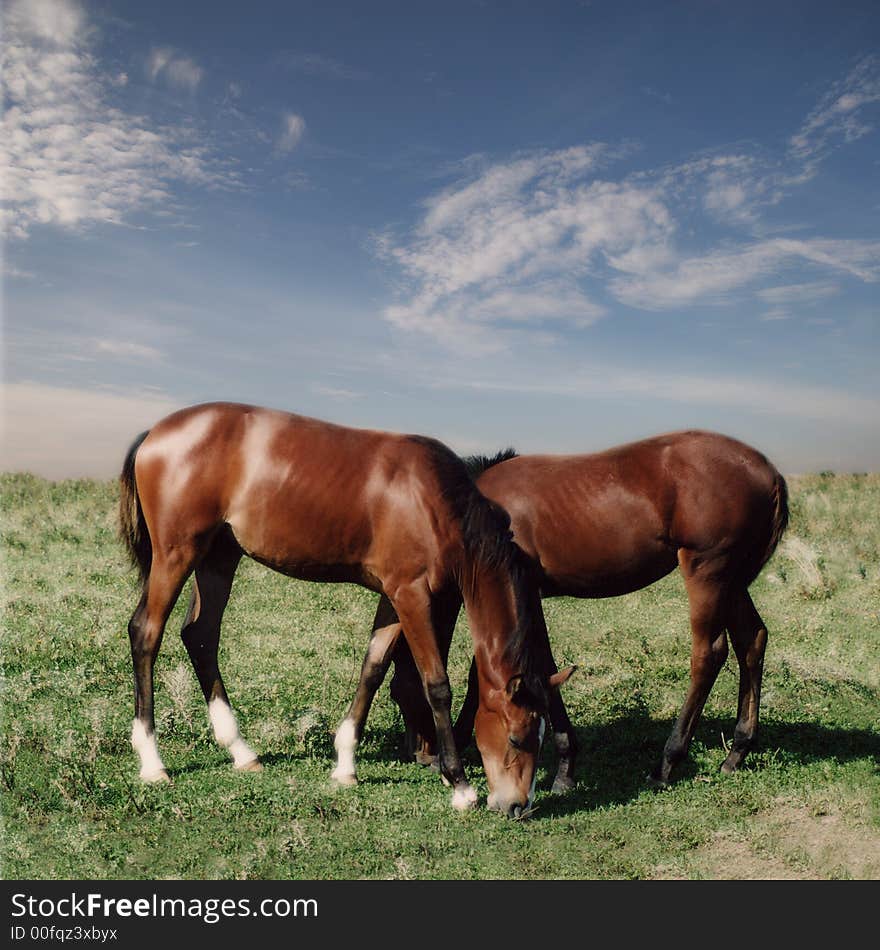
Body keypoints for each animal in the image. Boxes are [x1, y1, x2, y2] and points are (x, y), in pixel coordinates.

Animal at [118, 404, 572, 820]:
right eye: (517, 737)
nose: (518, 806)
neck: (434, 501)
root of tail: (155, 433)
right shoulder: (412, 596)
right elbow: (437, 684)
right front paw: (459, 784)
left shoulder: (392, 597)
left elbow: (373, 669)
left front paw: (345, 765)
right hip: (177, 554)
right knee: (146, 632)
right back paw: (152, 761)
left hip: (218, 557)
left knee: (200, 636)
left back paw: (241, 751)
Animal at [382, 430, 788, 788]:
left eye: (398, 690)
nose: (422, 754)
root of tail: (769, 472)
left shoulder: (523, 592)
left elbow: (537, 666)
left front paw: (563, 766)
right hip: (732, 582)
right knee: (752, 641)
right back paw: (737, 751)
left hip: (707, 572)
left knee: (709, 654)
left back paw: (667, 762)